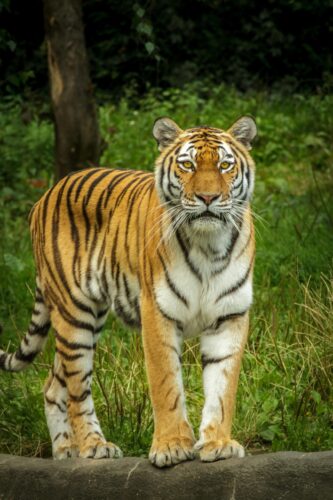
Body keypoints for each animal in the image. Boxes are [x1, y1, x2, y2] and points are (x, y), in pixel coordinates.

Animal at [0, 115, 255, 466]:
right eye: (187, 165)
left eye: (225, 165)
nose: (207, 198)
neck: (209, 245)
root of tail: (47, 194)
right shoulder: (157, 312)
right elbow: (166, 385)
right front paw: (171, 447)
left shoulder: (230, 316)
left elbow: (223, 388)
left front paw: (218, 444)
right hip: (74, 314)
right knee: (77, 388)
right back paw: (94, 446)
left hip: (86, 318)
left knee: (53, 384)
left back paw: (64, 451)